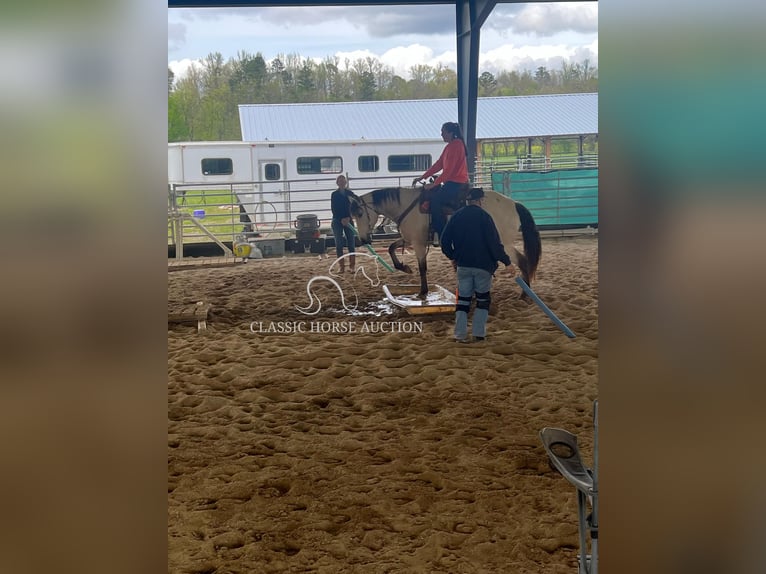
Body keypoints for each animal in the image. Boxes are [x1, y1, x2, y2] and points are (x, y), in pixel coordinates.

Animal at [352, 188, 544, 300]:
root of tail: (514, 204)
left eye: (360, 213)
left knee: (522, 261)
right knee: (523, 261)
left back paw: (524, 294)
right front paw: (405, 268)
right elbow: (392, 248)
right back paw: (524, 293)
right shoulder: (410, 239)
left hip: (502, 244)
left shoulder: (419, 243)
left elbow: (423, 268)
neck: (406, 206)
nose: (363, 239)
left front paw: (423, 292)